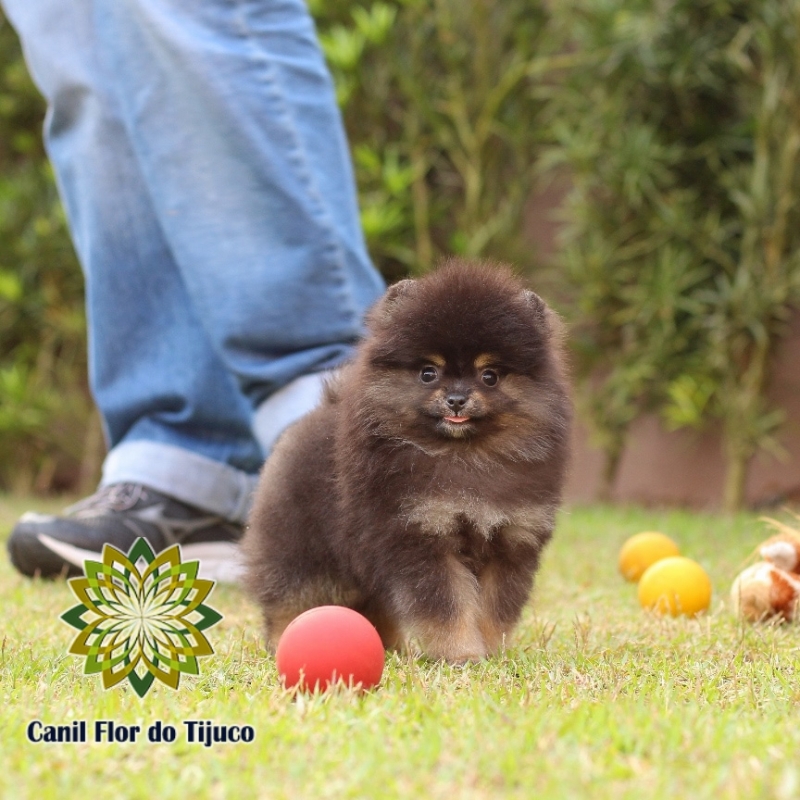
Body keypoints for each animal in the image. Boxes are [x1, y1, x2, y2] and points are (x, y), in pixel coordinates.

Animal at [241, 258, 572, 664]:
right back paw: (281, 641)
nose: (457, 399)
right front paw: (460, 654)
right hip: (304, 551)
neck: (466, 457)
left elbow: (496, 608)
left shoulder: (511, 540)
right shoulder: (419, 534)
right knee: (289, 598)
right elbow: (445, 606)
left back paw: (392, 647)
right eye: (428, 373)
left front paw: (493, 653)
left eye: (490, 376)